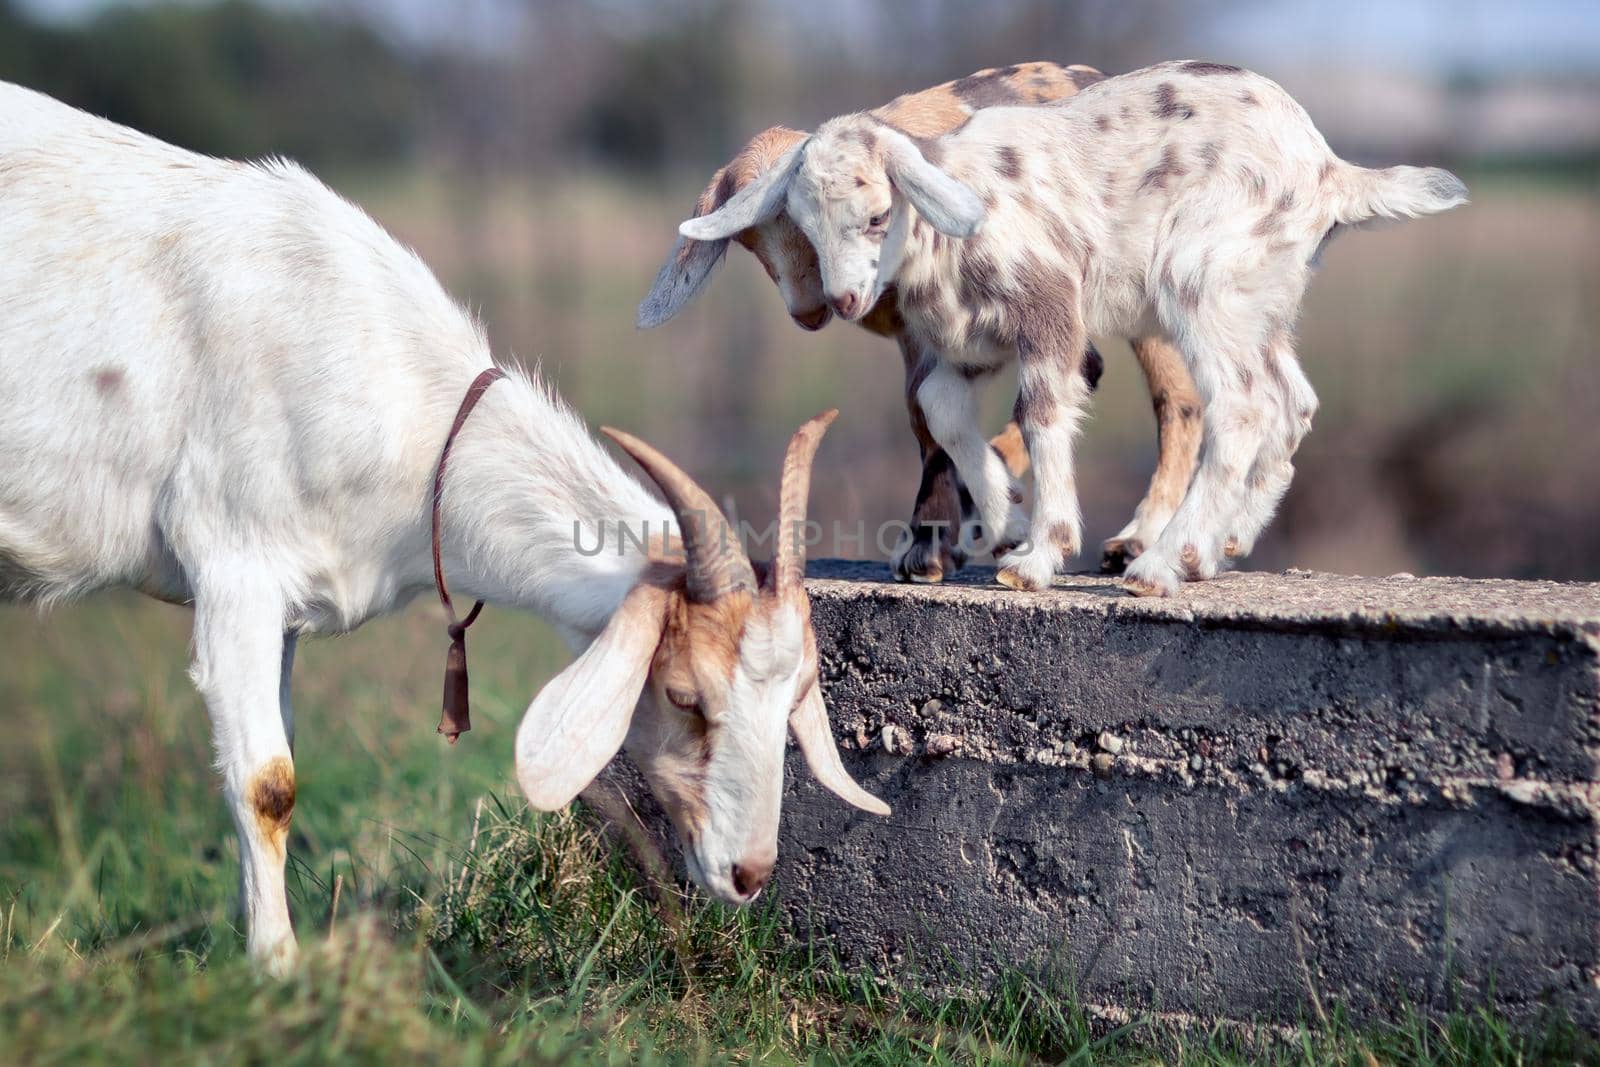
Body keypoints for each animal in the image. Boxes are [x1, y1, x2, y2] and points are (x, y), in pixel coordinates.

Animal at [0, 81, 889, 979]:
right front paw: (279, 971)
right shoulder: (233, 568)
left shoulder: (283, 610)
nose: (748, 872)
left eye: (794, 699)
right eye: (682, 695)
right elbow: (268, 782)